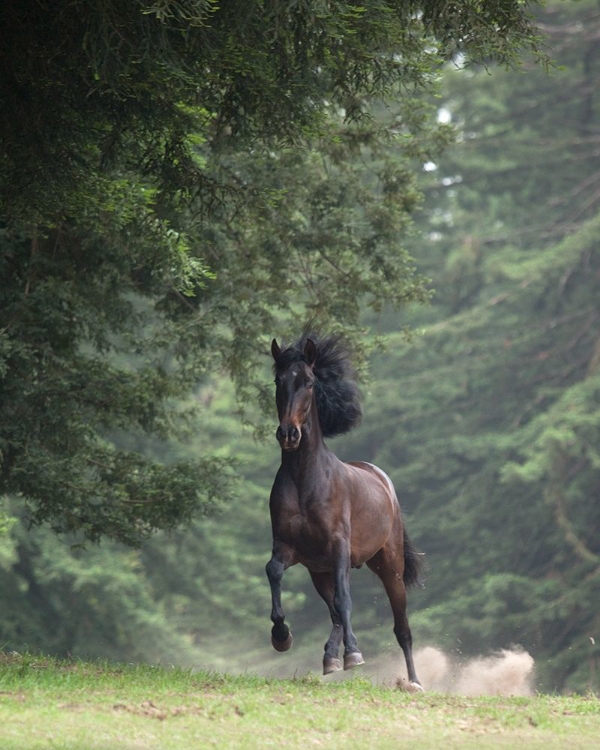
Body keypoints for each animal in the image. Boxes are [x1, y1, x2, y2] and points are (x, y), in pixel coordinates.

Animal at [264, 332, 424, 692]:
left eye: (309, 382)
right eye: (278, 381)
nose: (288, 434)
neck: (305, 479)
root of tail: (383, 480)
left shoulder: (338, 547)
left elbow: (345, 601)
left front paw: (354, 654)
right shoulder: (288, 548)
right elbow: (274, 571)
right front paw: (281, 636)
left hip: (389, 567)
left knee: (401, 627)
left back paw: (413, 681)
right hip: (318, 570)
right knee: (335, 612)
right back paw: (330, 658)